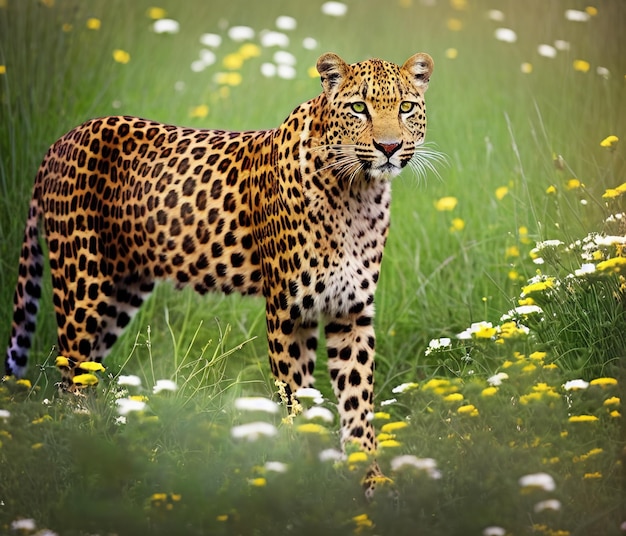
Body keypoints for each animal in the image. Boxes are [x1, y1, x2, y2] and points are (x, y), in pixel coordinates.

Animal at [4, 52, 432, 496]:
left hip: (118, 293)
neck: (357, 193)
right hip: (81, 289)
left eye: (406, 107)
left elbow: (357, 401)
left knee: (82, 376)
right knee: (68, 379)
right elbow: (296, 396)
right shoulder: (288, 311)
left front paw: (370, 479)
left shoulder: (351, 312)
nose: (389, 147)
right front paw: (303, 474)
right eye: (359, 108)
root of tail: (59, 142)